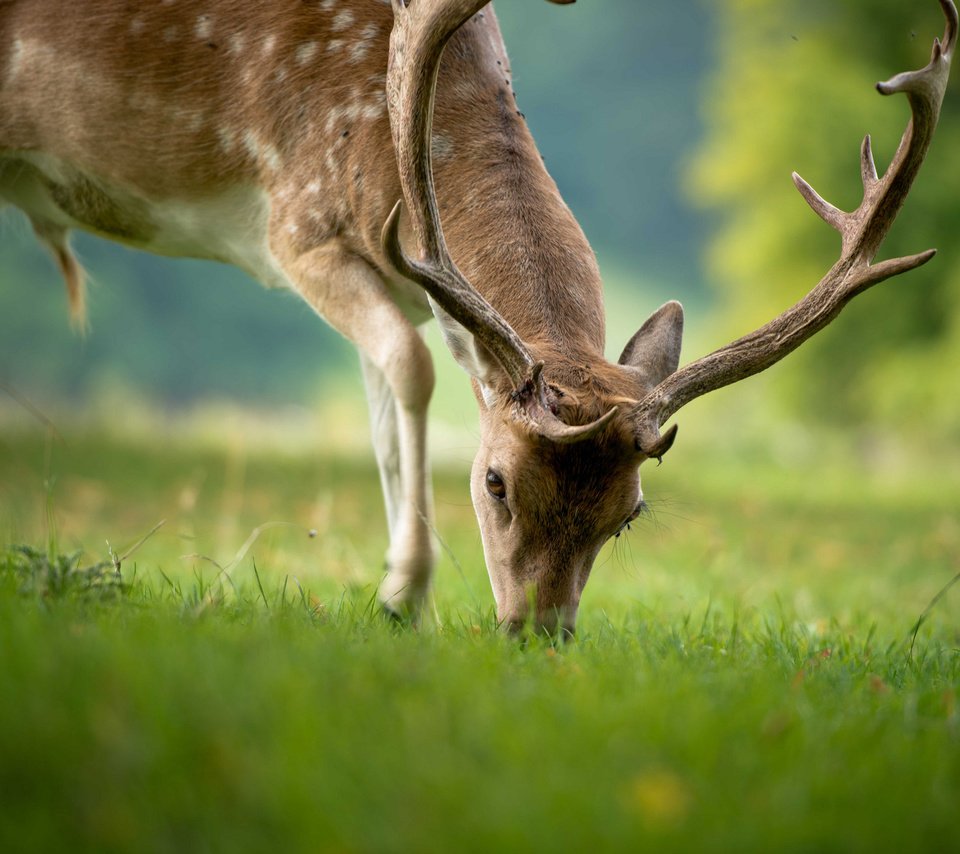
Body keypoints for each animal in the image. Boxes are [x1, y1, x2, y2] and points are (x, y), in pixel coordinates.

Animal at [0, 0, 956, 636]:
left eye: (629, 514)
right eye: (495, 482)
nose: (539, 634)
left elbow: (383, 416)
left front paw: (392, 597)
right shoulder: (298, 224)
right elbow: (413, 373)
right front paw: (407, 594)